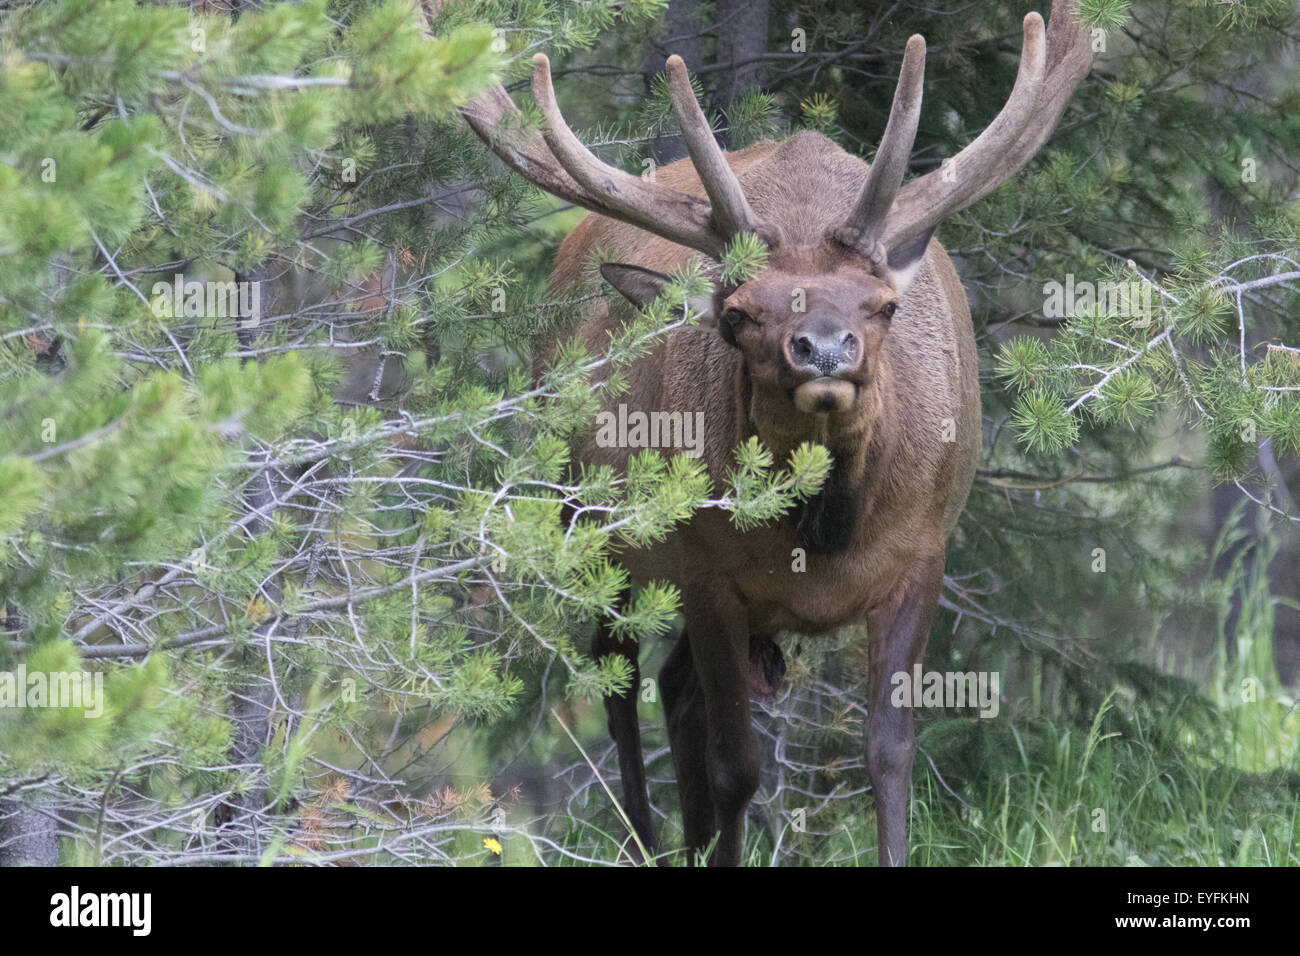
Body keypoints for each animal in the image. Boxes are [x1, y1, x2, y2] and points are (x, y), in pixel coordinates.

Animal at [462, 1, 1092, 868]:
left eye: (883, 305)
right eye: (737, 314)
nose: (823, 348)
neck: (823, 535)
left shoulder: (924, 556)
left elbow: (888, 753)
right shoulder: (705, 570)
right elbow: (738, 766)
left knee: (675, 690)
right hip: (590, 524)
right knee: (621, 683)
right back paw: (650, 843)